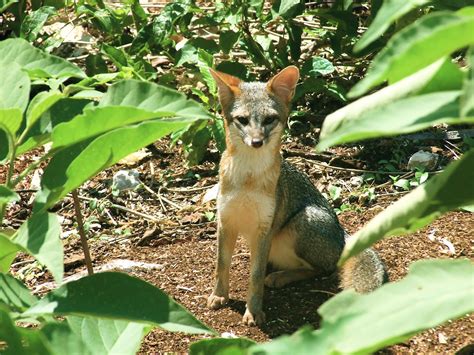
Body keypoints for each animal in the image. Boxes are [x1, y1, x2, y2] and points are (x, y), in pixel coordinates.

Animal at [206, 65, 386, 326]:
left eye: (269, 119)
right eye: (242, 120)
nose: (257, 142)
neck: (248, 179)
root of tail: (343, 233)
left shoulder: (263, 229)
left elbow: (255, 276)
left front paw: (254, 311)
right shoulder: (226, 221)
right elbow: (221, 265)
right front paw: (219, 295)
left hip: (302, 222)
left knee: (324, 268)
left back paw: (281, 276)